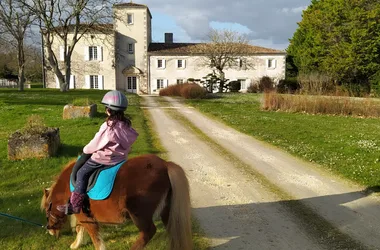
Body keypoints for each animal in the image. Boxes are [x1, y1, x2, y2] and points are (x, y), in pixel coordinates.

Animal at [40, 154, 193, 250]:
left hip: (139, 215)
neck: (69, 186)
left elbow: (95, 239)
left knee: (148, 232)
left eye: (47, 210)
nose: (50, 230)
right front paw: (76, 244)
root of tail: (165, 165)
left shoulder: (87, 219)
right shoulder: (84, 217)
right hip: (167, 212)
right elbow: (80, 229)